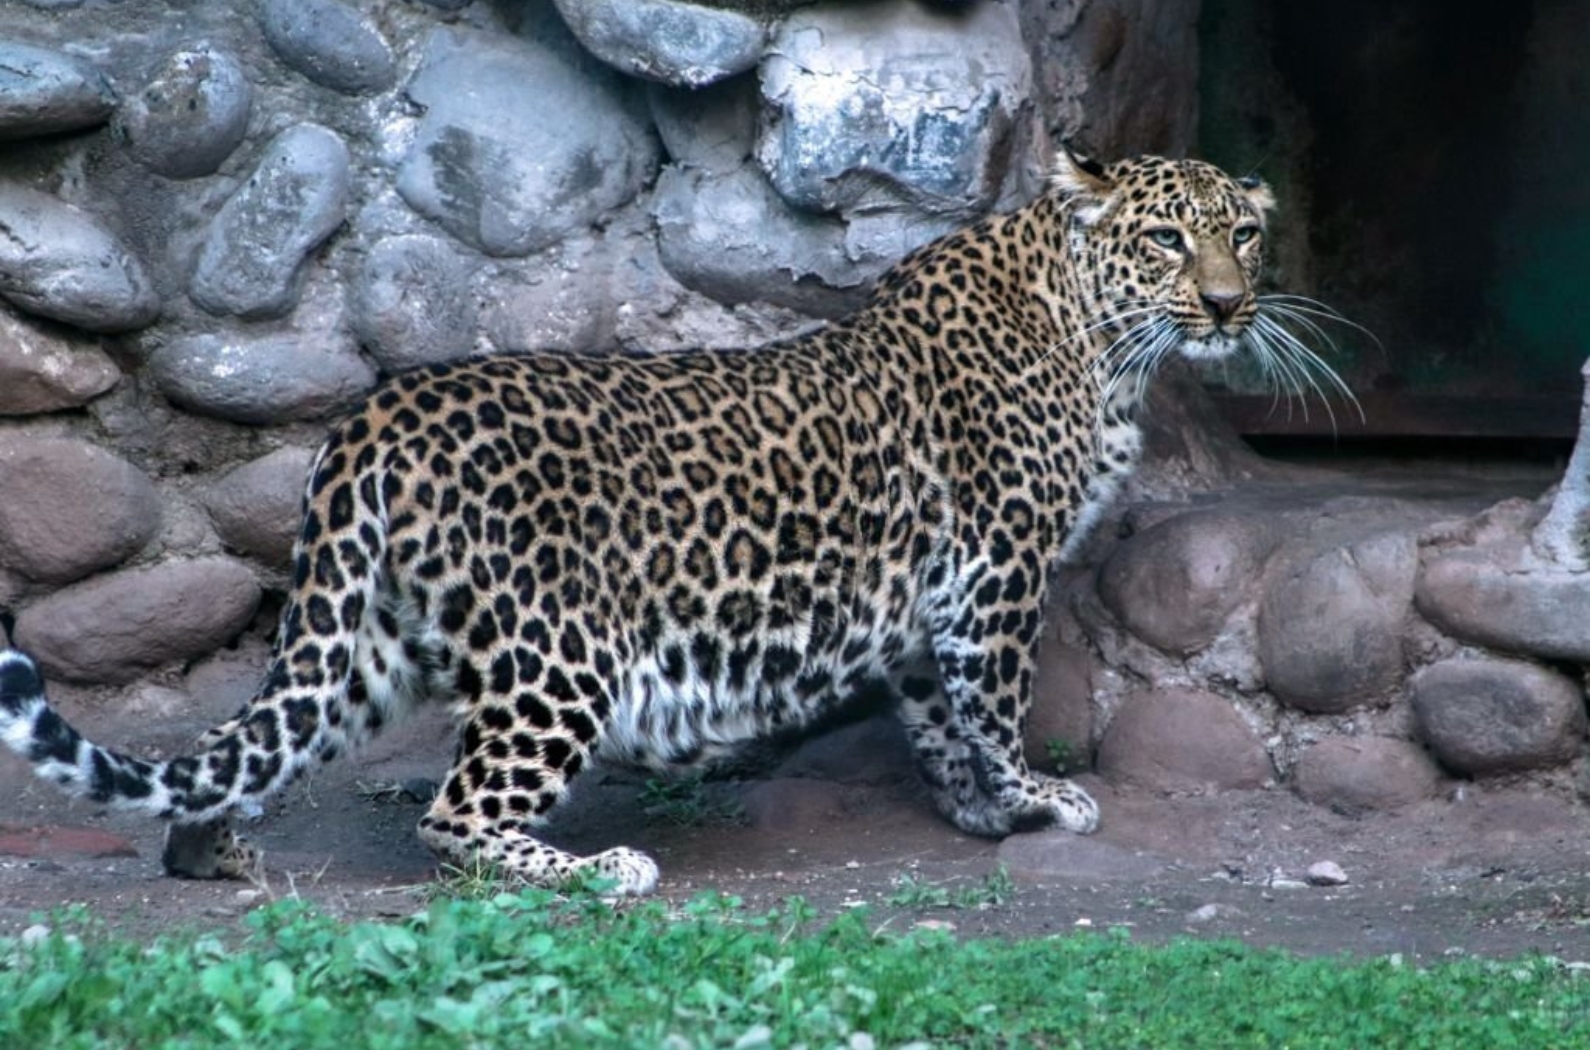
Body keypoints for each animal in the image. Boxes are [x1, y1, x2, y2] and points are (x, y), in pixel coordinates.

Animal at [0, 149, 1303, 897]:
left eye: (1241, 234)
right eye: (1165, 238)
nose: (1229, 306)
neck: (1095, 332)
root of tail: (375, 417)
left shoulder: (932, 592)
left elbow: (937, 711)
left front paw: (983, 808)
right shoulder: (995, 571)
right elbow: (989, 701)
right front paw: (1036, 797)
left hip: (363, 639)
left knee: (243, 748)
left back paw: (211, 851)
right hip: (558, 655)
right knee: (455, 817)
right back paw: (601, 869)